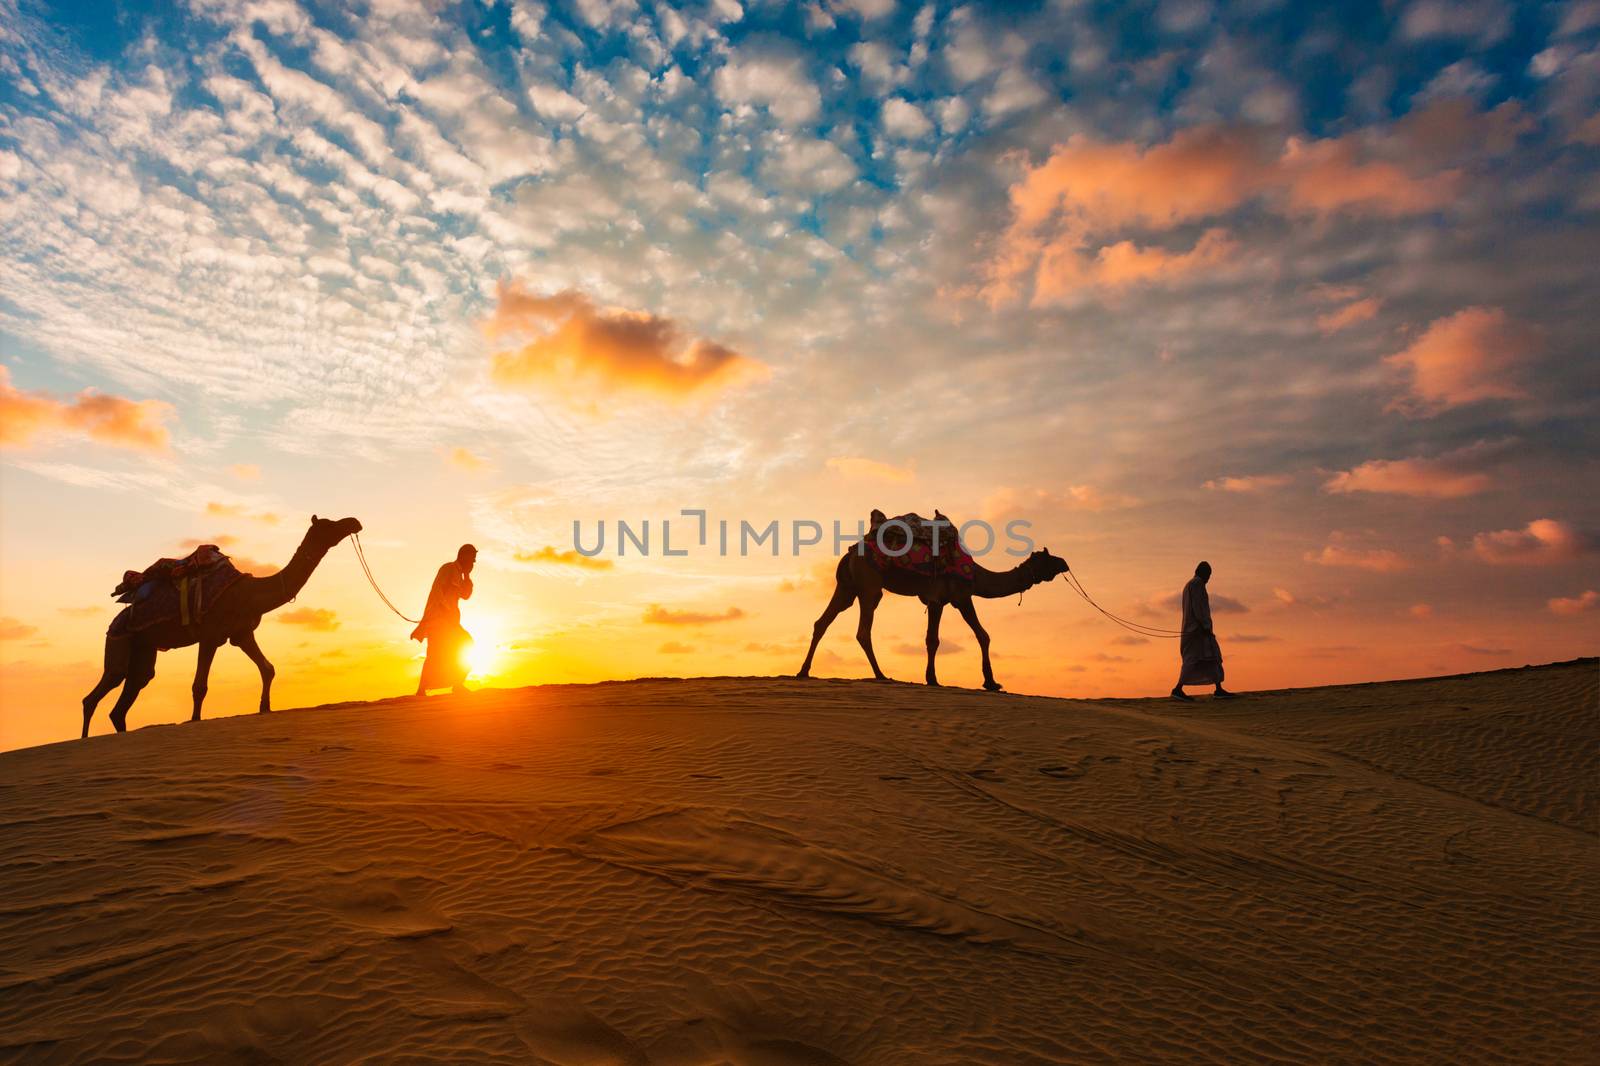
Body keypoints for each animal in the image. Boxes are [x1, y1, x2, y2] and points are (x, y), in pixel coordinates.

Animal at [81, 515, 363, 736]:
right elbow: (199, 686)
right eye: (329, 524)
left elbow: (268, 669)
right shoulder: (210, 635)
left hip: (143, 647)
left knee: (130, 692)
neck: (250, 593)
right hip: (118, 637)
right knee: (100, 689)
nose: (354, 522)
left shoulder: (242, 633)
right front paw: (195, 720)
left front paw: (265, 707)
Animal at [796, 531, 1068, 688]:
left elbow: (974, 635)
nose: (1065, 563)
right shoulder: (952, 597)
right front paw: (936, 679)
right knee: (863, 630)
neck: (977, 575)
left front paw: (989, 681)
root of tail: (850, 554)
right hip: (870, 586)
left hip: (847, 587)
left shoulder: (947, 599)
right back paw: (882, 675)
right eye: (1049, 558)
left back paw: (803, 671)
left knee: (822, 622)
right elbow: (942, 639)